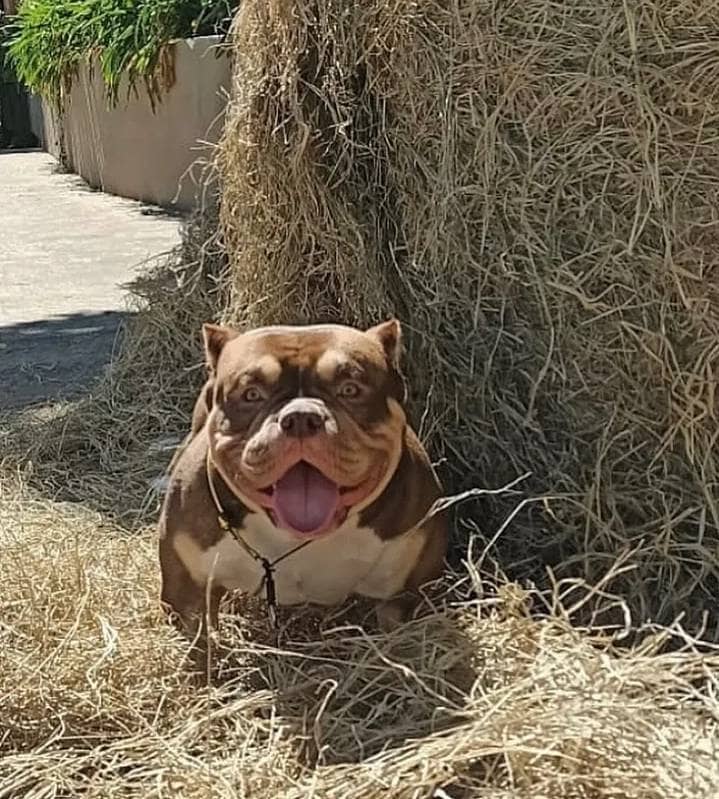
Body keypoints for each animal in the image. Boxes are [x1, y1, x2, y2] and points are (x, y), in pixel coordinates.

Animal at [160, 318, 448, 648]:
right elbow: (200, 641)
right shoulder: (186, 595)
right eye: (251, 394)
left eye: (350, 389)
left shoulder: (407, 592)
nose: (300, 417)